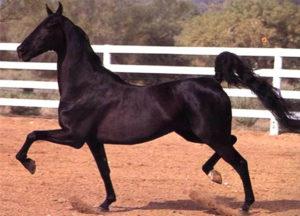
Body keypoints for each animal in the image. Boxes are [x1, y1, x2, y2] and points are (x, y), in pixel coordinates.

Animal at [15, 2, 298, 213]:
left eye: (49, 26)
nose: (20, 50)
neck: (84, 87)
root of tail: (214, 82)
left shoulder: (74, 137)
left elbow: (33, 134)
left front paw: (30, 164)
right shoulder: (93, 141)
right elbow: (104, 169)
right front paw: (106, 203)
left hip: (208, 135)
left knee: (240, 161)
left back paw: (244, 204)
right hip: (197, 134)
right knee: (233, 141)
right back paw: (212, 174)